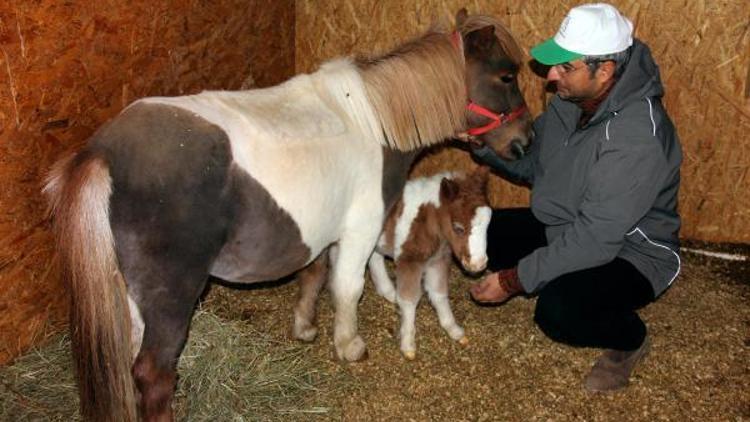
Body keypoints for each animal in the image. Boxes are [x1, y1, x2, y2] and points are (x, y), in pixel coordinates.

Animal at [44, 7, 532, 422]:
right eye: (506, 75)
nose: (524, 143)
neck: (372, 120)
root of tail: (104, 153)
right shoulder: (360, 228)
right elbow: (348, 287)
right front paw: (350, 345)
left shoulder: (325, 232)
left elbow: (315, 277)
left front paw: (305, 327)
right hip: (171, 296)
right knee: (153, 374)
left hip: (131, 294)